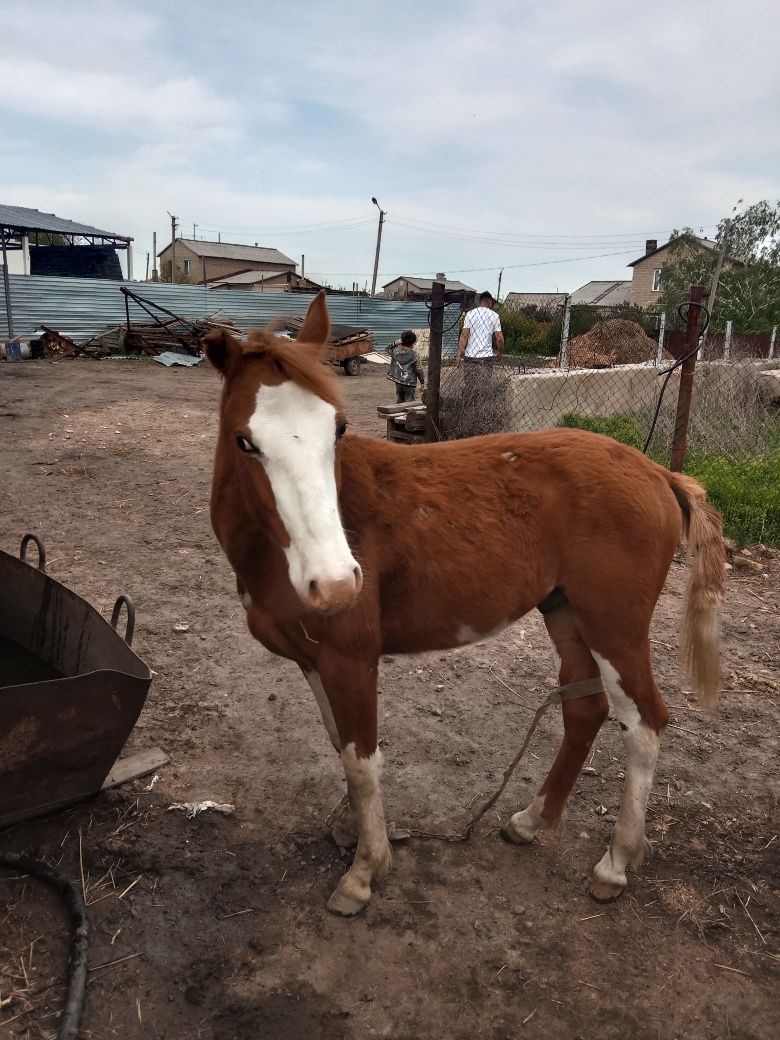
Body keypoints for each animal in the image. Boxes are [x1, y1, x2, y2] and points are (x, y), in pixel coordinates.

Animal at [202, 293, 728, 919]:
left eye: (339, 428)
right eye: (244, 440)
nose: (335, 585)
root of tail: (659, 473)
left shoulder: (351, 661)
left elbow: (362, 762)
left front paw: (365, 871)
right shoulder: (314, 662)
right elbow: (339, 746)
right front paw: (353, 834)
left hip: (615, 630)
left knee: (645, 723)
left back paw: (616, 863)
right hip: (566, 614)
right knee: (585, 710)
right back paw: (532, 820)